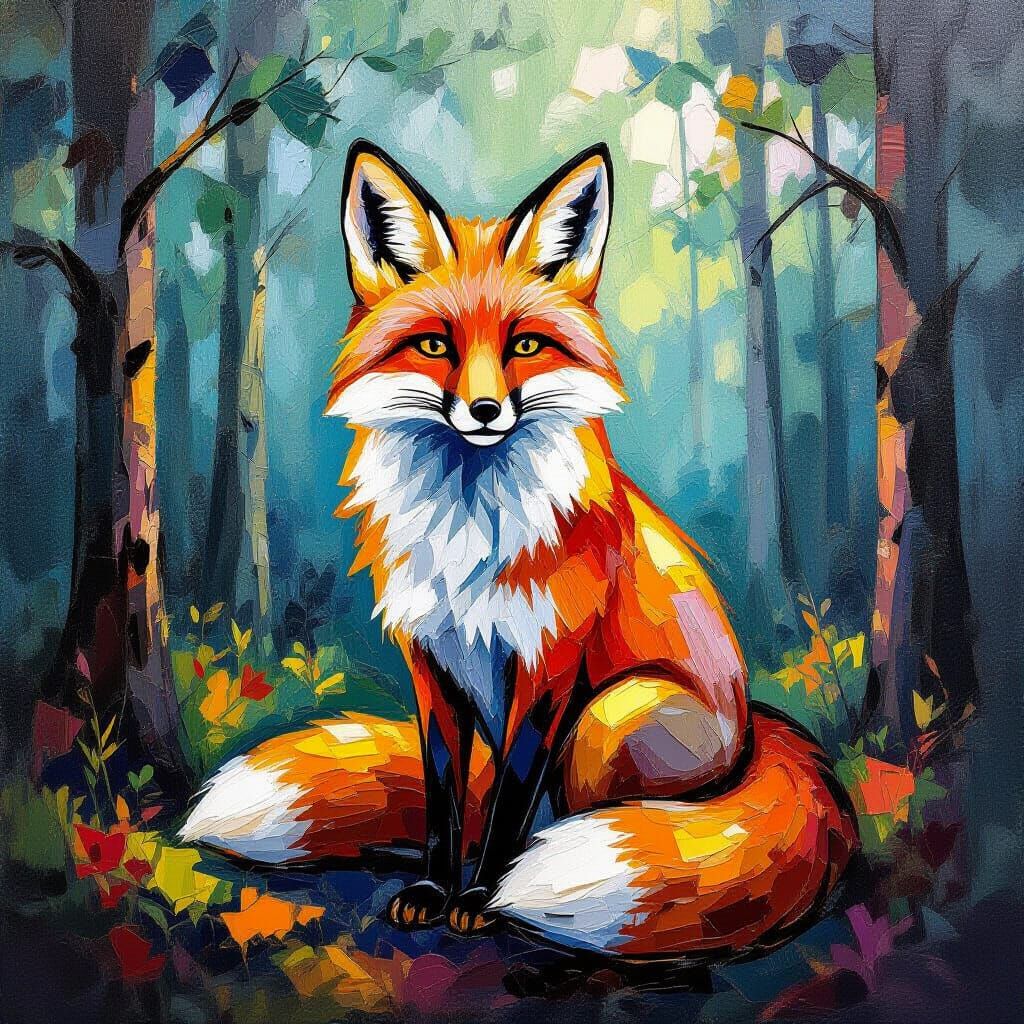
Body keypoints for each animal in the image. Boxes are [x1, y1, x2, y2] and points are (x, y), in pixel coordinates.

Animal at [180, 140, 858, 960]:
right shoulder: (433, 664)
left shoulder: (549, 667)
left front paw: (482, 899)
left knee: (567, 812)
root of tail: (759, 727)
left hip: (608, 717)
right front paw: (435, 889)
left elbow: (508, 807)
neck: (469, 535)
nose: (482, 410)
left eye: (525, 345)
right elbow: (445, 798)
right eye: (435, 344)